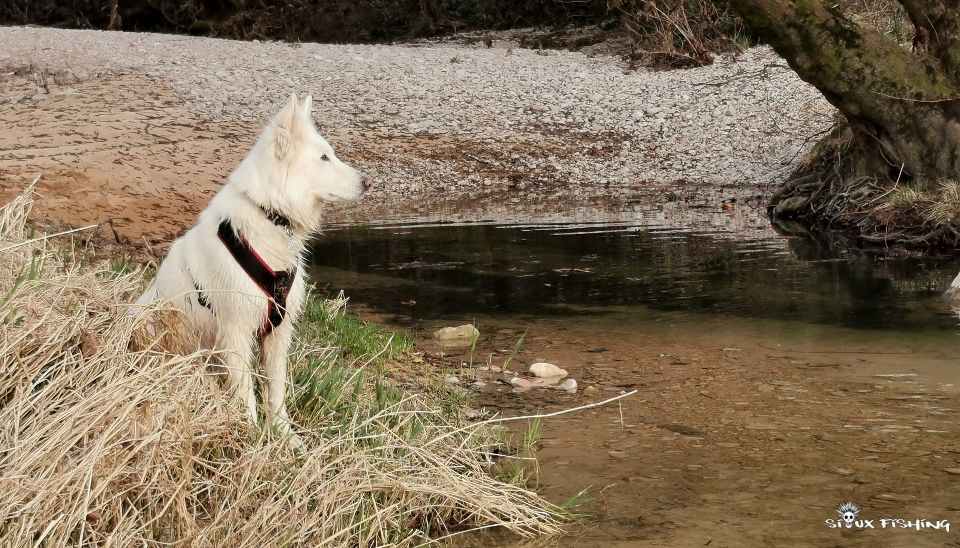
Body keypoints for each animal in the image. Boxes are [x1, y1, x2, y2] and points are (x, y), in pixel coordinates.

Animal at [135, 92, 372, 444]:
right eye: (324, 158)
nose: (369, 182)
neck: (270, 215)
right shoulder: (235, 333)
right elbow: (245, 392)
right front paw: (250, 435)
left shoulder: (278, 334)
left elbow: (276, 390)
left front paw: (285, 437)